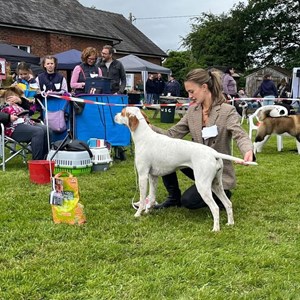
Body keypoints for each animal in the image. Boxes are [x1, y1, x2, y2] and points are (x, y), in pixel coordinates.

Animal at [113, 107, 254, 232]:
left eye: (123, 112)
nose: (114, 115)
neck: (144, 136)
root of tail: (213, 153)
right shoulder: (153, 176)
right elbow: (151, 197)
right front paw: (148, 211)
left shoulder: (143, 175)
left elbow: (142, 199)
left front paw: (138, 213)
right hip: (216, 184)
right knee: (228, 203)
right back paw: (230, 223)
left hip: (203, 186)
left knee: (215, 208)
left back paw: (215, 229)